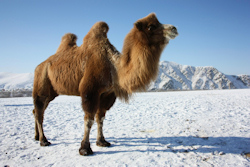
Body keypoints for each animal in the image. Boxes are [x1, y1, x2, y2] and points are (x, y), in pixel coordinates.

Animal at [32, 12, 178, 155]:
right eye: (151, 26)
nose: (174, 28)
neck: (113, 67)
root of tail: (39, 66)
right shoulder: (90, 91)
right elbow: (89, 119)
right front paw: (85, 148)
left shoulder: (107, 94)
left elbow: (100, 118)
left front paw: (102, 141)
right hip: (41, 83)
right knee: (39, 112)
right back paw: (44, 140)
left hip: (52, 92)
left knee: (37, 110)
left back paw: (36, 137)